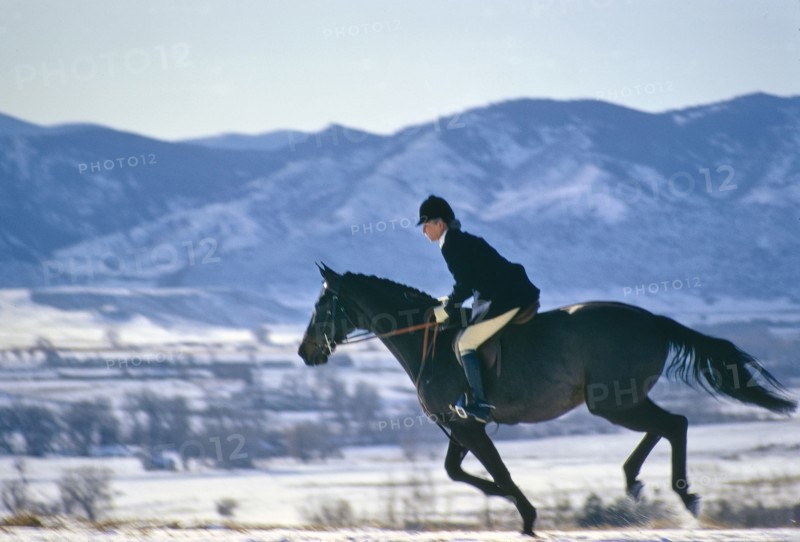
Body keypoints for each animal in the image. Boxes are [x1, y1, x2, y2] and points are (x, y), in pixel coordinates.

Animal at [297, 263, 796, 536]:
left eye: (322, 307)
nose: (305, 353)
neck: (427, 341)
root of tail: (653, 319)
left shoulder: (467, 425)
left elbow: (493, 470)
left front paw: (526, 514)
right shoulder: (459, 426)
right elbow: (456, 471)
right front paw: (508, 500)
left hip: (612, 401)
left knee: (674, 424)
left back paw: (679, 494)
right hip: (619, 400)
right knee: (669, 426)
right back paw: (638, 482)